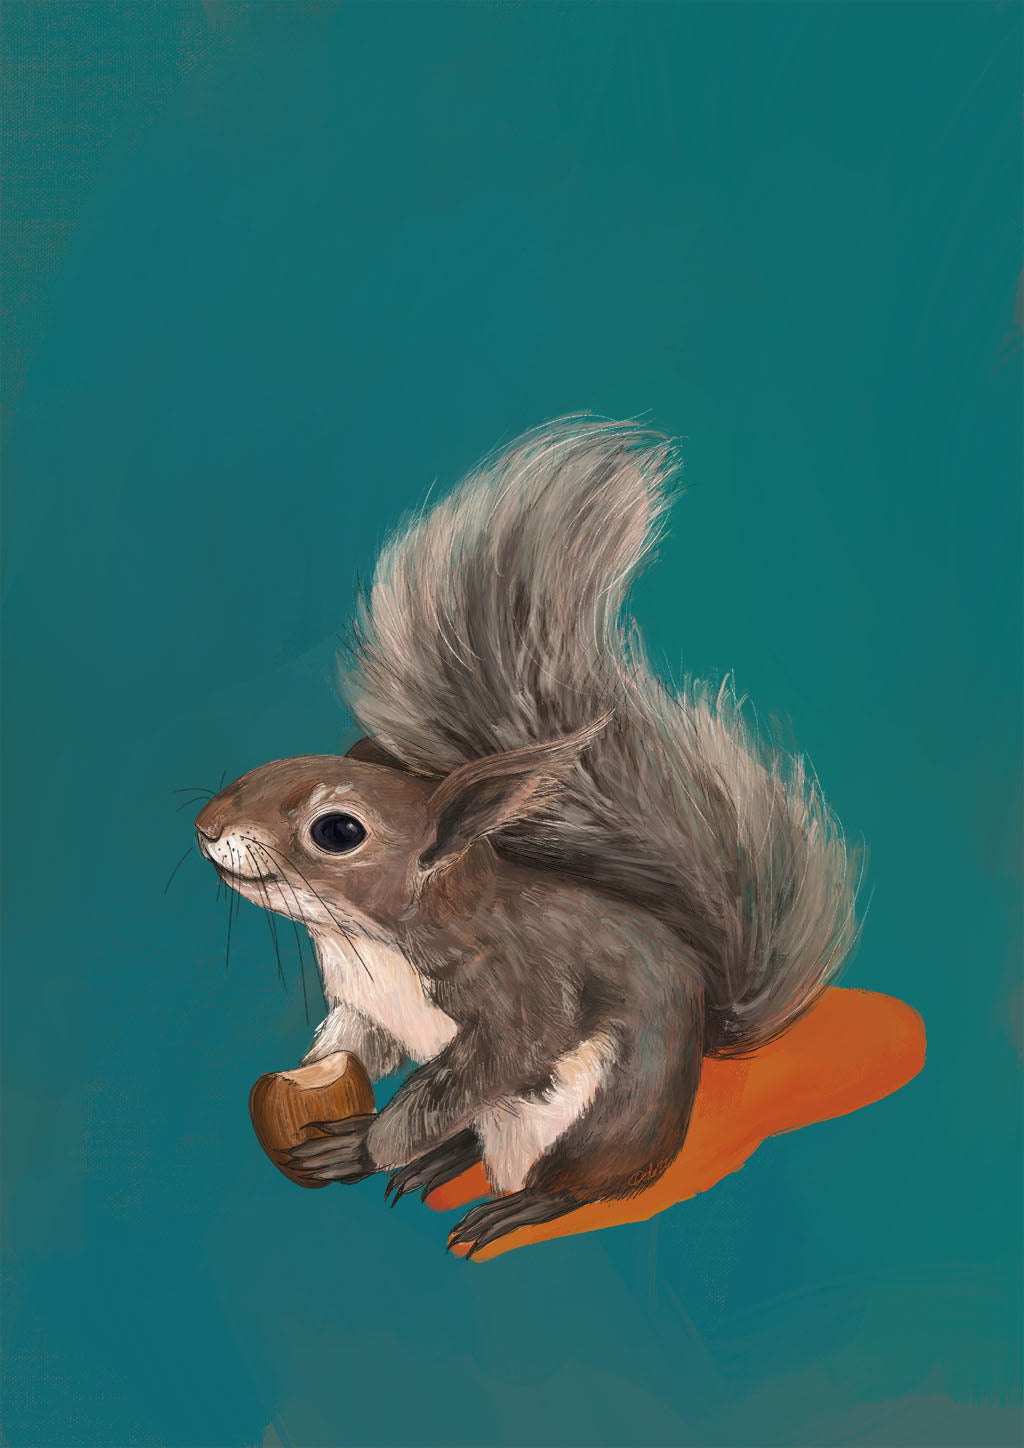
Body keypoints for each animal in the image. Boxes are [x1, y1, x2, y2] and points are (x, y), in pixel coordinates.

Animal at [195, 415, 861, 1255]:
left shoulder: (519, 993)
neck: (371, 939)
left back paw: (503, 1203)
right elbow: (350, 1045)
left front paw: (370, 1144)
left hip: (596, 1120)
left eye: (337, 830)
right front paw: (315, 1085)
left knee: (578, 1180)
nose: (206, 826)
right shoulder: (361, 1006)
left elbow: (480, 1068)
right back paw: (432, 1165)